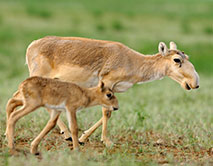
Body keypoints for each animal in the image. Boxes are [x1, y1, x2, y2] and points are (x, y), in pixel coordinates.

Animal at [25, 36, 200, 147]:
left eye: (187, 57)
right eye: (177, 59)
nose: (195, 83)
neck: (132, 61)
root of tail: (31, 46)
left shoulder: (113, 89)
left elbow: (109, 111)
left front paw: (83, 137)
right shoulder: (107, 83)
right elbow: (106, 112)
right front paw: (107, 141)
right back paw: (67, 134)